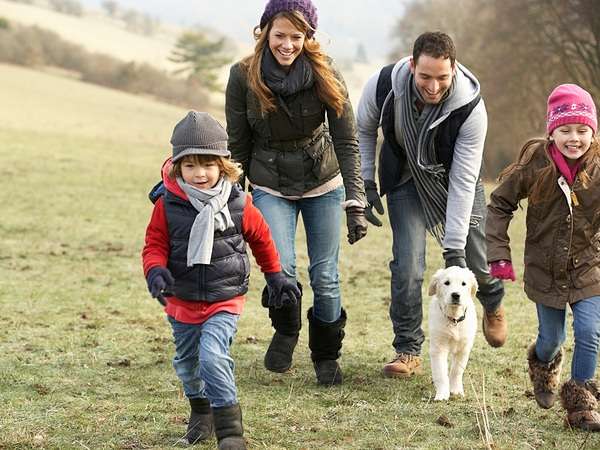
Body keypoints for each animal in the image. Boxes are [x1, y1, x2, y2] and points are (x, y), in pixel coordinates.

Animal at [426, 264, 478, 400]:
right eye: (446, 283)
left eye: (463, 283)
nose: (455, 295)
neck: (454, 319)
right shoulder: (438, 348)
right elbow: (440, 373)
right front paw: (442, 394)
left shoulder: (463, 349)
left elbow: (456, 371)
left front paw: (456, 390)